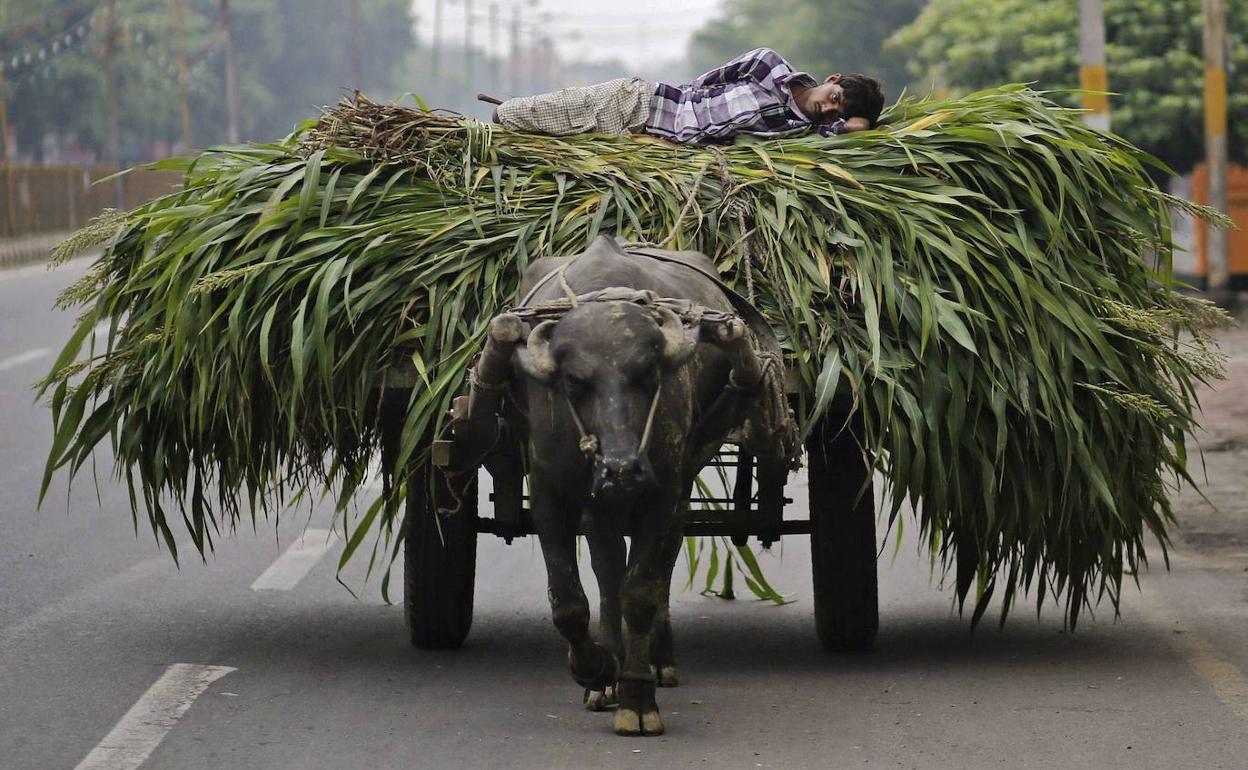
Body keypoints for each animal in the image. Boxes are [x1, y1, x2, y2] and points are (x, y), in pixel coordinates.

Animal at [459, 232, 788, 733]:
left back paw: (659, 658)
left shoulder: (663, 492)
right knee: (608, 567)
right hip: (599, 504)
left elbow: (641, 591)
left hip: (673, 487)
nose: (621, 469)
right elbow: (570, 599)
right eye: (574, 381)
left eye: (647, 373)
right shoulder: (551, 493)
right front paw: (597, 670)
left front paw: (637, 692)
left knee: (654, 566)